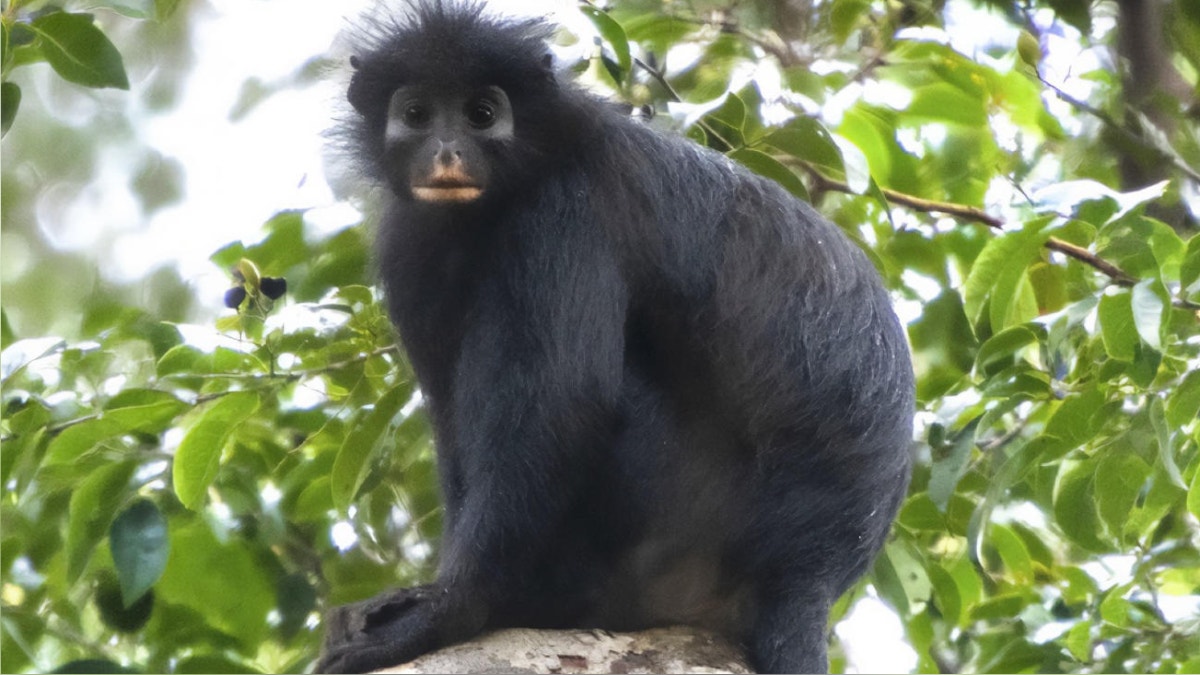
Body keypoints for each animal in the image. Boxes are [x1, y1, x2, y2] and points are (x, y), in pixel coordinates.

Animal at [318, 2, 914, 672]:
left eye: (481, 115)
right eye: (417, 114)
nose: (447, 152)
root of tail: (810, 574)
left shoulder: (564, 211)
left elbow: (562, 404)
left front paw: (453, 609)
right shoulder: (410, 242)